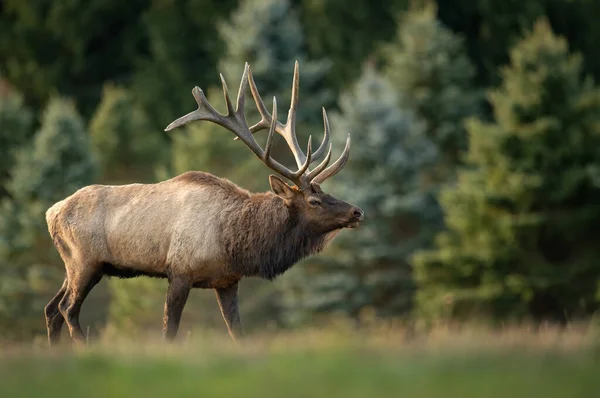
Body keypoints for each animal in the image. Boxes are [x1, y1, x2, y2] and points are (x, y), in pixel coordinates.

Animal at [44, 62, 364, 346]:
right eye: (314, 200)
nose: (357, 211)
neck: (235, 242)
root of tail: (51, 212)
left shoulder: (227, 281)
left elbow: (237, 333)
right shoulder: (179, 271)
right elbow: (169, 331)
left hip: (74, 265)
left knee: (51, 309)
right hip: (85, 261)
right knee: (67, 309)